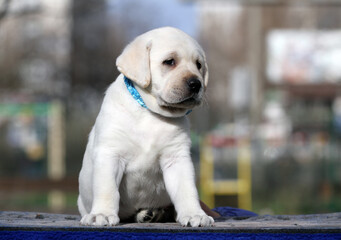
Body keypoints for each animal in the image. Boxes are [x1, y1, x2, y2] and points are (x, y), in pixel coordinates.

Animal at [78, 26, 214, 227]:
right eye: (169, 62)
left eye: (199, 65)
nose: (196, 84)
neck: (150, 113)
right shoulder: (110, 154)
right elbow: (107, 188)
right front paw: (101, 213)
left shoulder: (176, 158)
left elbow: (186, 189)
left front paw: (193, 214)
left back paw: (156, 214)